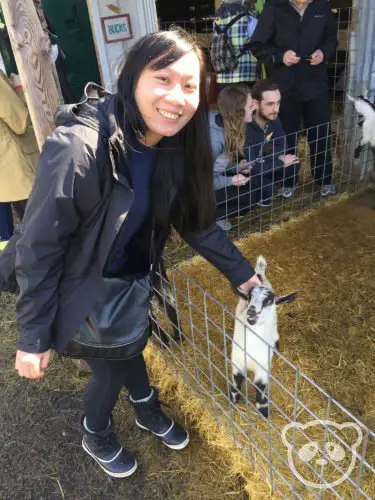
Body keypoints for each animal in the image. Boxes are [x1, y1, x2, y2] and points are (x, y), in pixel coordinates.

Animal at [231, 256, 298, 416]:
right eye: (249, 297)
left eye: (268, 301)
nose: (251, 312)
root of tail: (260, 274)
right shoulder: (237, 360)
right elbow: (237, 379)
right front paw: (234, 399)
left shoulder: (263, 366)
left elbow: (260, 386)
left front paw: (263, 409)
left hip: (274, 325)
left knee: (275, 335)